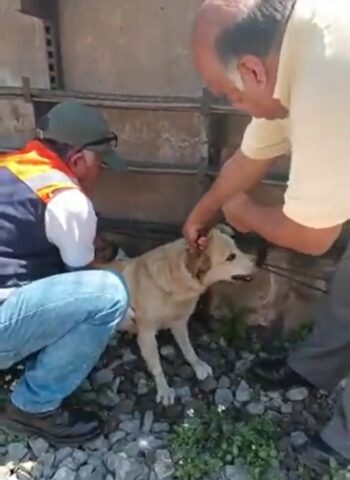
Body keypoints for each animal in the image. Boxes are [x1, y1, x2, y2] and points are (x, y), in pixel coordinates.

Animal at [95, 229, 254, 404]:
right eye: (230, 257)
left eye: (237, 248)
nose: (256, 261)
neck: (174, 283)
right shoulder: (147, 334)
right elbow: (157, 365)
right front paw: (163, 389)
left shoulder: (179, 324)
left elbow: (188, 349)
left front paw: (198, 365)